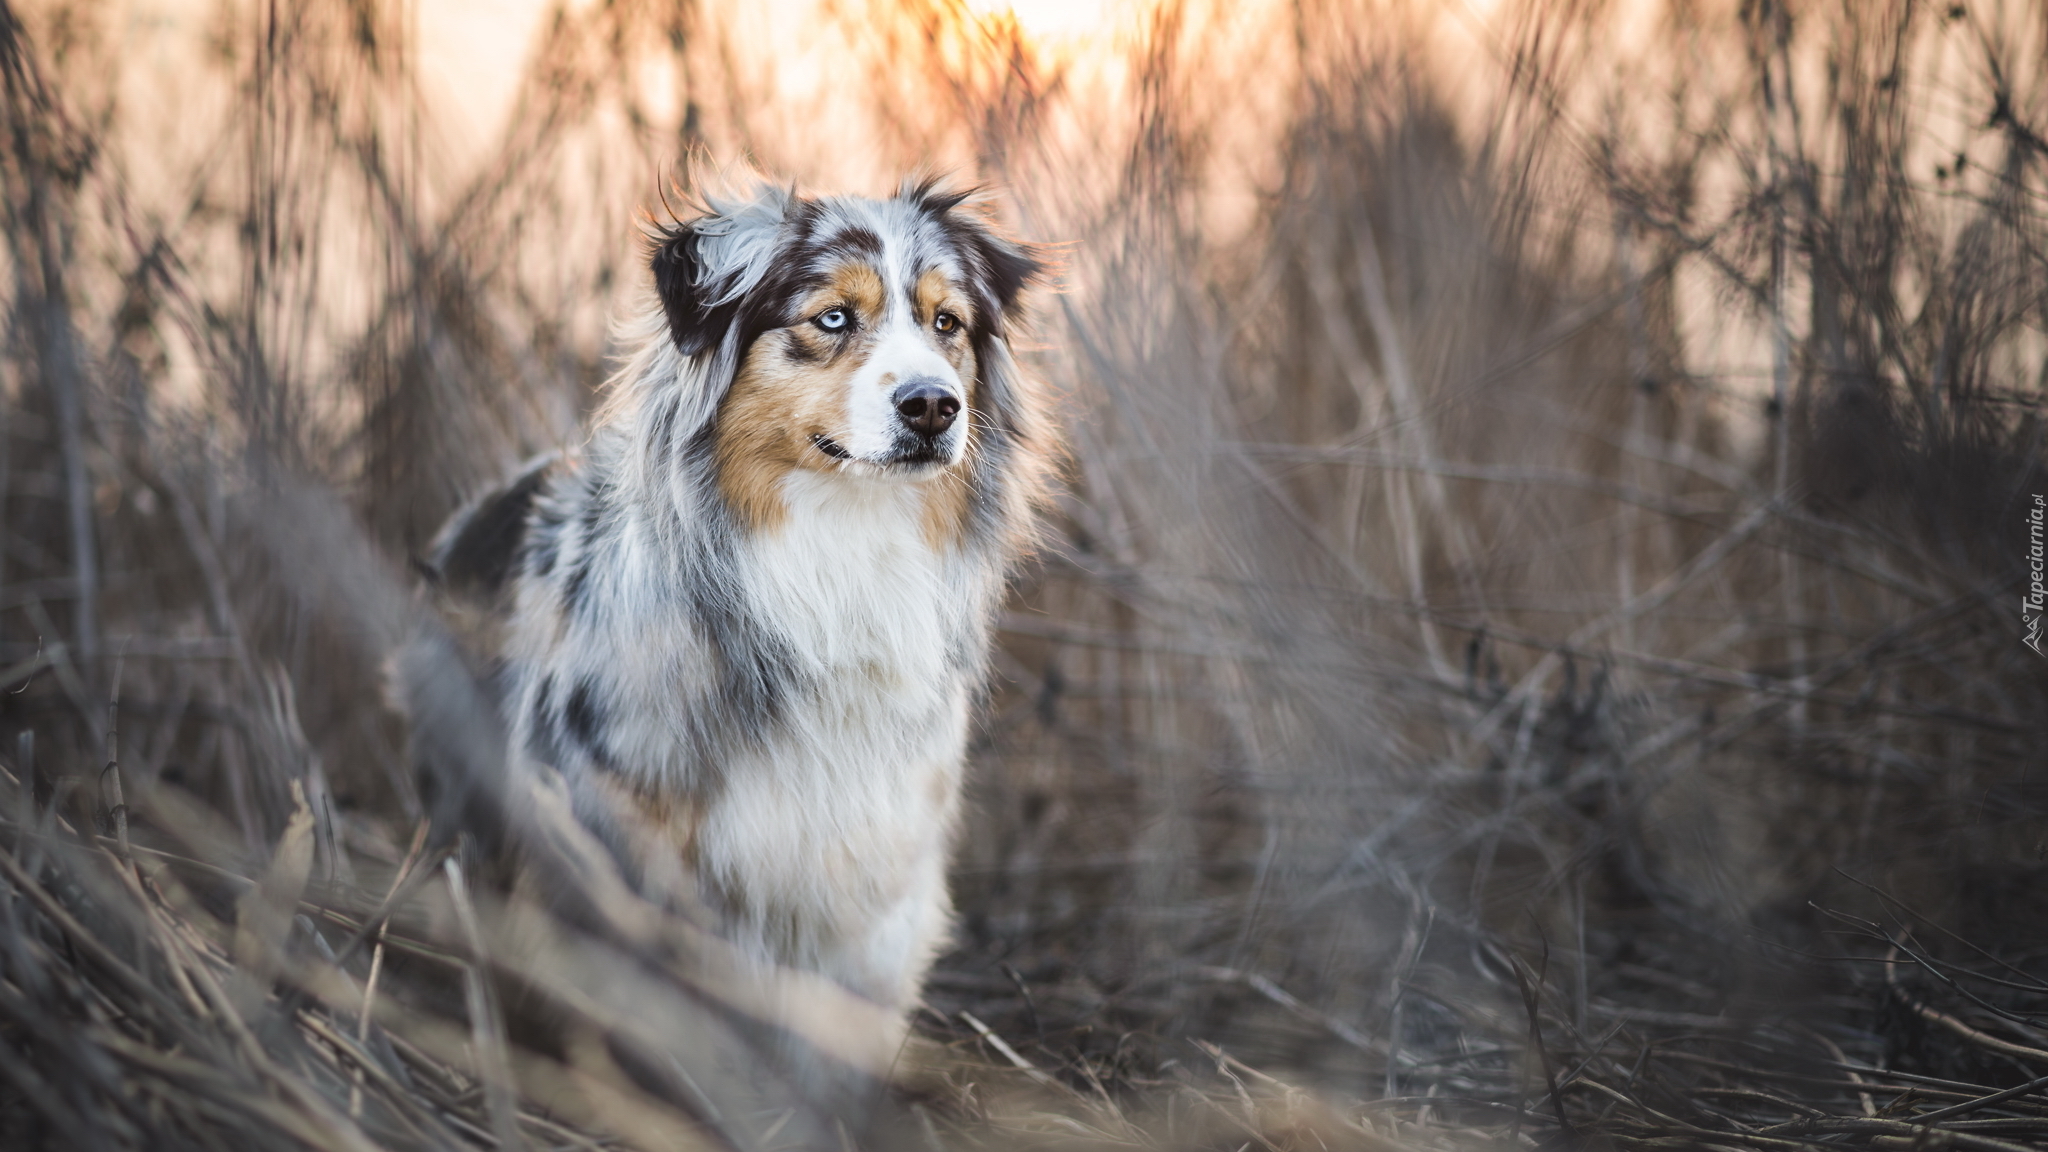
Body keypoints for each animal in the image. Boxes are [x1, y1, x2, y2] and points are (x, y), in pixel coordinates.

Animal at [421, 177, 1048, 1020]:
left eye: (947, 323)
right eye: (834, 317)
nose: (933, 406)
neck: (841, 545)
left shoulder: (872, 874)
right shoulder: (620, 829)